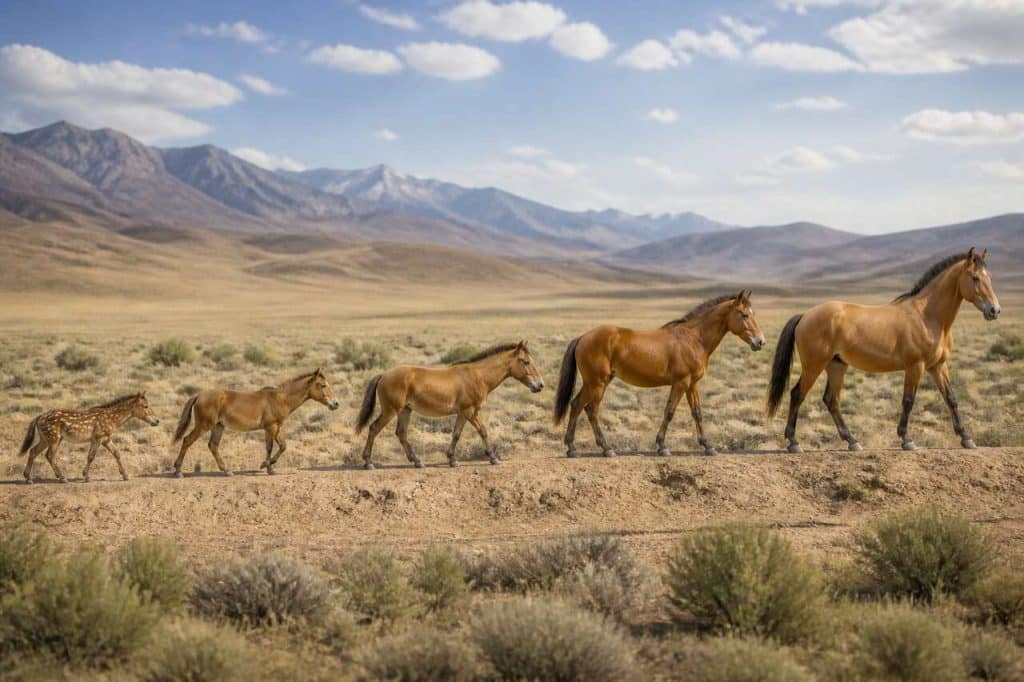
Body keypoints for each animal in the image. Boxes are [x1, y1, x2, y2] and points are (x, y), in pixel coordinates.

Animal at [18, 392, 160, 484]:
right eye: (146, 406)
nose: (157, 421)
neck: (112, 417)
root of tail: (39, 417)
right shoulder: (98, 439)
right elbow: (91, 456)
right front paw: (86, 477)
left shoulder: (106, 439)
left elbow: (117, 453)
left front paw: (125, 475)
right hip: (54, 439)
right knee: (49, 455)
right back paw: (62, 478)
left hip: (45, 439)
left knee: (33, 452)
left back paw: (28, 478)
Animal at [171, 368, 339, 477]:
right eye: (323, 385)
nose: (335, 404)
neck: (280, 399)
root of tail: (199, 395)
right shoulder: (272, 427)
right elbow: (282, 446)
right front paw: (265, 465)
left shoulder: (271, 428)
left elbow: (270, 447)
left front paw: (270, 469)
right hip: (204, 425)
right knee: (187, 440)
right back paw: (178, 471)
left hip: (218, 427)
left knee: (213, 446)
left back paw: (227, 471)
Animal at [355, 340, 545, 470]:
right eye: (526, 362)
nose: (540, 385)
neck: (478, 376)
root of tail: (384, 375)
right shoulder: (470, 412)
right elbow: (480, 432)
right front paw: (493, 458)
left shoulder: (464, 413)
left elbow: (458, 434)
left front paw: (452, 459)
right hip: (390, 411)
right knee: (374, 428)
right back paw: (368, 462)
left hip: (405, 411)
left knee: (401, 433)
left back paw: (417, 461)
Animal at [553, 290, 766, 458]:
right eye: (744, 315)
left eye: (753, 314)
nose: (760, 342)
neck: (693, 339)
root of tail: (583, 337)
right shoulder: (680, 383)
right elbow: (669, 412)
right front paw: (662, 447)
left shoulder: (692, 385)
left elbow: (697, 413)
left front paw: (708, 447)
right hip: (597, 383)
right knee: (589, 409)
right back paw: (603, 449)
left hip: (596, 383)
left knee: (578, 406)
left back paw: (576, 448)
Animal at [767, 248, 1001, 453]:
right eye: (974, 278)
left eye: (990, 277)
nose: (995, 310)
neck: (927, 316)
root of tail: (805, 315)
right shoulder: (915, 367)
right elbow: (908, 401)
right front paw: (907, 440)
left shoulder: (938, 366)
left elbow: (951, 398)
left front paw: (966, 438)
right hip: (814, 366)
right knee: (798, 394)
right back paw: (794, 443)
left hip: (836, 366)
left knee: (831, 400)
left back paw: (852, 441)